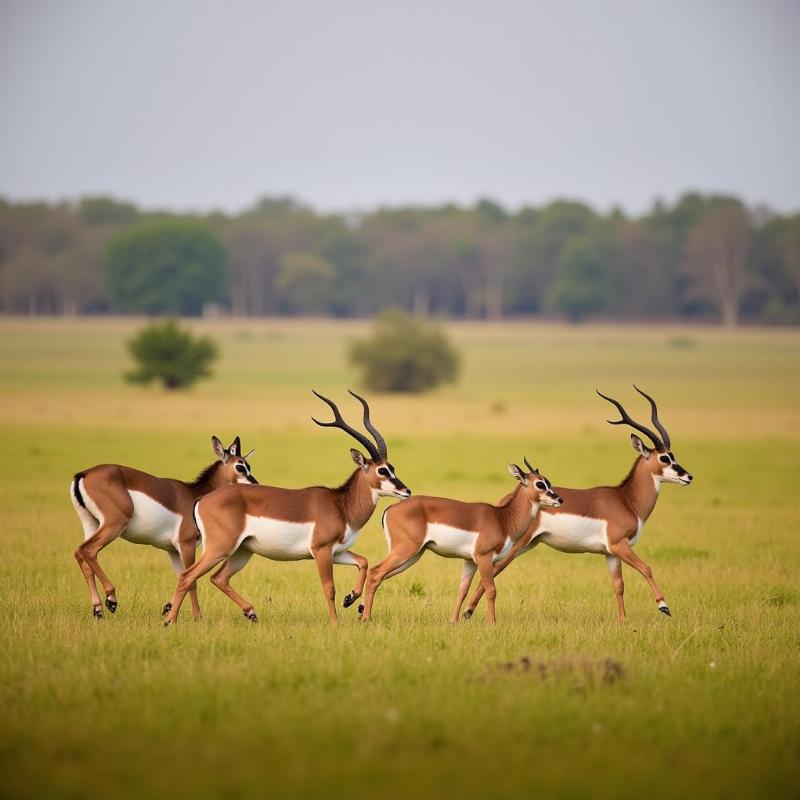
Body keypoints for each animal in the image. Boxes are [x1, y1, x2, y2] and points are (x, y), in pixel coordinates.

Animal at [164, 390, 412, 628]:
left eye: (392, 467)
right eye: (382, 471)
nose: (406, 490)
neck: (341, 505)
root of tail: (202, 500)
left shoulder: (337, 551)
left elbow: (363, 562)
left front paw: (350, 598)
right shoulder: (321, 551)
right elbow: (329, 588)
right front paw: (335, 623)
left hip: (242, 551)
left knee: (218, 578)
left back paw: (250, 613)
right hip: (220, 548)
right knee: (187, 575)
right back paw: (169, 621)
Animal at [362, 462, 564, 624]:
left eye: (548, 481)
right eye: (540, 483)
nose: (559, 499)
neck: (502, 519)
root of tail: (390, 509)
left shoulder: (469, 561)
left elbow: (462, 590)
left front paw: (453, 621)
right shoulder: (484, 558)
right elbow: (491, 590)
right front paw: (492, 623)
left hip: (413, 556)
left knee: (379, 576)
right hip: (405, 551)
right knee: (375, 572)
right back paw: (366, 619)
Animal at [462, 390, 692, 620]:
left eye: (673, 455)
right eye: (664, 458)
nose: (688, 476)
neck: (627, 501)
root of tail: (505, 503)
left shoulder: (610, 553)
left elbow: (618, 585)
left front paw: (623, 620)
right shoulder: (619, 545)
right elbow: (647, 568)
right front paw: (664, 606)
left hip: (527, 545)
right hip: (515, 547)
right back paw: (467, 612)